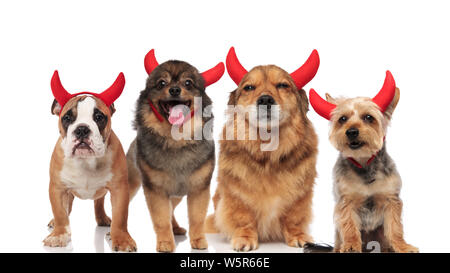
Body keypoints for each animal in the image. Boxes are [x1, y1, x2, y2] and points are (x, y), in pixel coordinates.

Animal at [206, 47, 322, 251]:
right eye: (249, 88)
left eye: (283, 85)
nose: (266, 99)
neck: (269, 151)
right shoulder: (236, 194)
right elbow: (243, 218)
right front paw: (245, 238)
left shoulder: (300, 195)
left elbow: (293, 217)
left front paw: (298, 235)